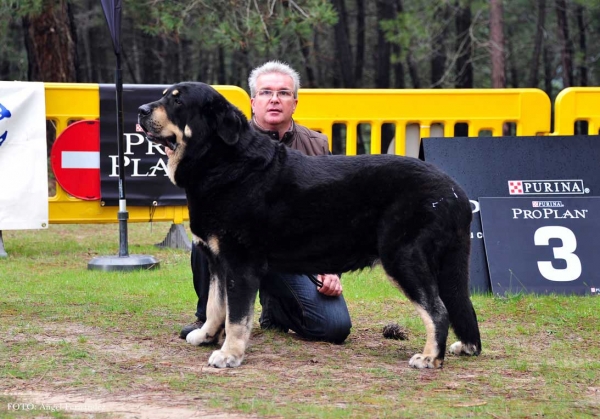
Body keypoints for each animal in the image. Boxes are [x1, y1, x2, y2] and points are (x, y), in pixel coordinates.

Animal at [138, 83, 480, 370]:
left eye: (177, 100)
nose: (141, 110)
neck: (221, 162)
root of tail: (455, 192)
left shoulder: (239, 262)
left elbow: (236, 316)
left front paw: (229, 354)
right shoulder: (217, 261)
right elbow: (215, 305)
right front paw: (207, 335)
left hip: (403, 257)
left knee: (438, 310)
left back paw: (430, 358)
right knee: (460, 305)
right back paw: (466, 346)